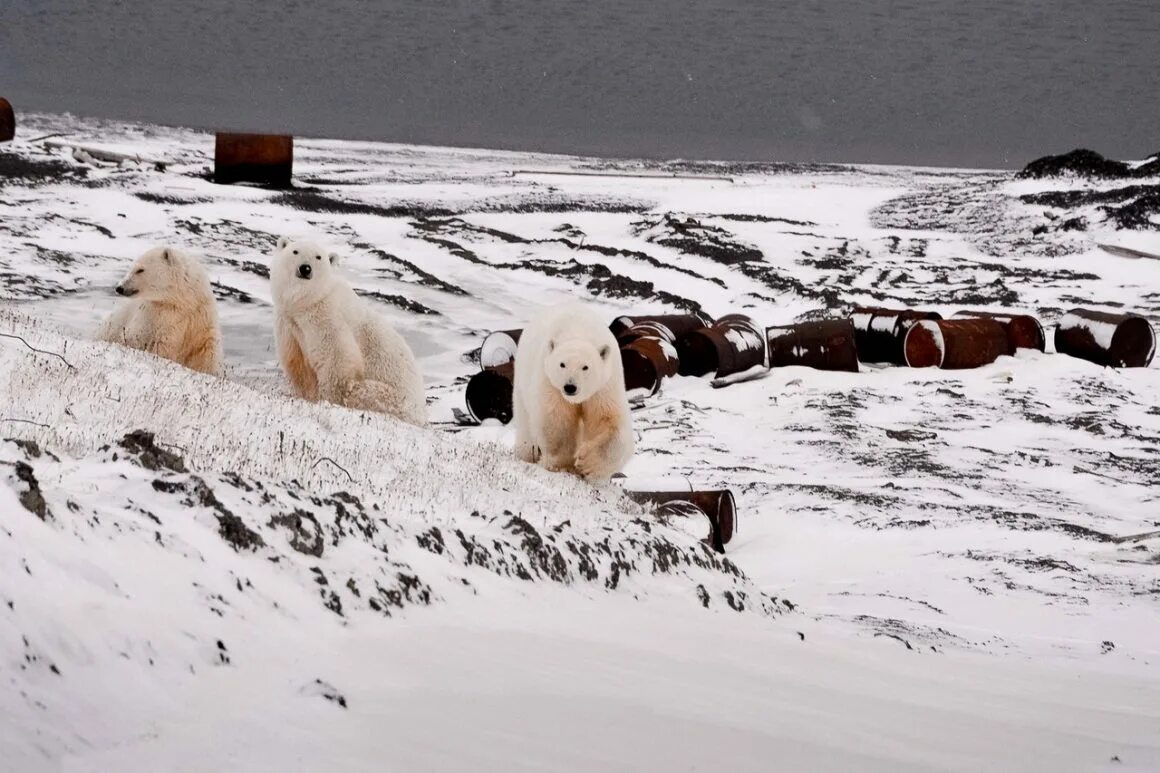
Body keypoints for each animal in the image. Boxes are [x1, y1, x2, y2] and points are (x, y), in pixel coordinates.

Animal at [95, 242, 223, 371]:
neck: (182, 301)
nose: (119, 288)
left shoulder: (201, 317)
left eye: (140, 270)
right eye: (132, 268)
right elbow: (151, 342)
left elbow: (205, 353)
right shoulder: (157, 318)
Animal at [270, 236, 426, 424]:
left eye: (318, 257)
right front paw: (305, 395)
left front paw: (328, 400)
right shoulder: (289, 323)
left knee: (364, 392)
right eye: (295, 251)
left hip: (395, 399)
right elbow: (297, 361)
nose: (305, 268)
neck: (305, 304)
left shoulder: (327, 316)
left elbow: (338, 358)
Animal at [512, 301, 635, 478]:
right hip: (523, 383)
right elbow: (556, 419)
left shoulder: (604, 386)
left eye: (585, 367)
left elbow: (609, 421)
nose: (570, 387)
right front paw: (562, 465)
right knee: (525, 423)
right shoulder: (550, 381)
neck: (578, 330)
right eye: (562, 364)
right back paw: (528, 452)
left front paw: (587, 463)